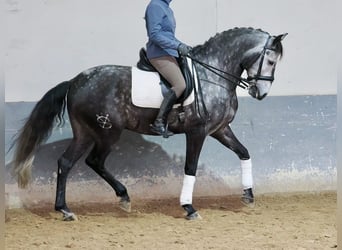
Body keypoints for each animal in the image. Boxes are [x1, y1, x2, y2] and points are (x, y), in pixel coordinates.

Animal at [12, 27, 286, 221]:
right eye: (271, 61)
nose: (260, 93)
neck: (213, 74)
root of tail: (74, 81)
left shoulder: (220, 130)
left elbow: (244, 152)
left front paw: (248, 195)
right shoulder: (197, 132)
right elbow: (191, 167)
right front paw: (188, 207)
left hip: (85, 132)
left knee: (66, 163)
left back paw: (66, 210)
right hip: (107, 133)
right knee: (94, 161)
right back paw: (121, 198)